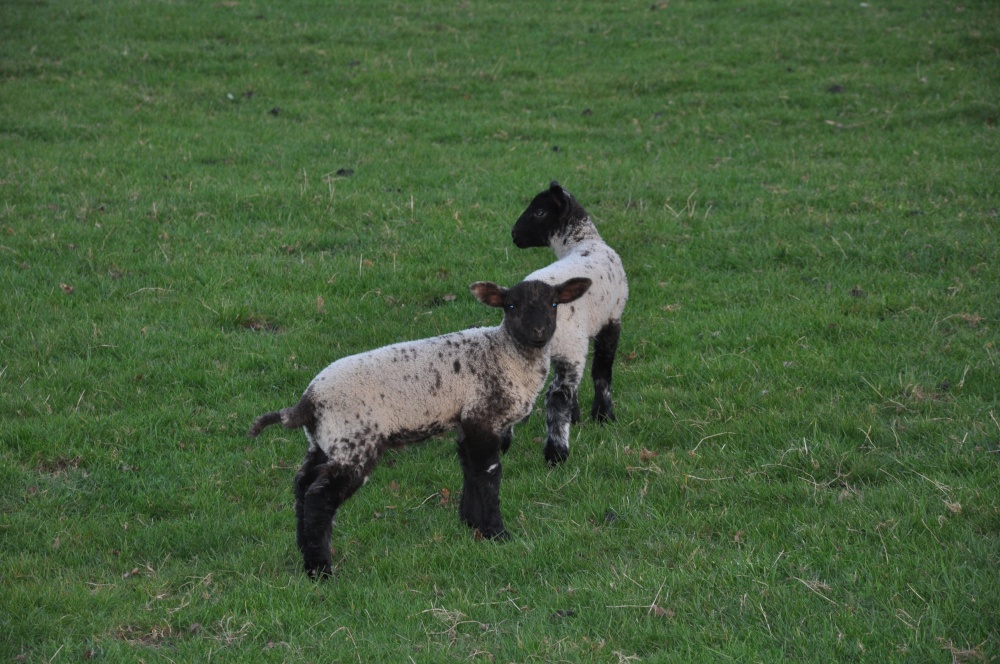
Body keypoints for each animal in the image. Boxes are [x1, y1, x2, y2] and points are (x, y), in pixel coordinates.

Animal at [248, 277, 592, 579]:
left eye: (553, 303)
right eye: (510, 305)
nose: (539, 331)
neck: (508, 356)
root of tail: (308, 402)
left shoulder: (465, 422)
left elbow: (470, 469)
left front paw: (470, 523)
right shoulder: (483, 417)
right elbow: (489, 475)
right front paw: (497, 533)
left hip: (322, 442)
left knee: (302, 485)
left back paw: (303, 550)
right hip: (354, 441)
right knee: (320, 497)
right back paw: (320, 571)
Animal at [511, 181, 629, 465]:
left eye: (539, 212)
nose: (514, 235)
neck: (583, 242)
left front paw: (578, 417)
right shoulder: (612, 319)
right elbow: (602, 371)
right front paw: (603, 415)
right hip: (570, 342)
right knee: (557, 394)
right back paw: (557, 453)